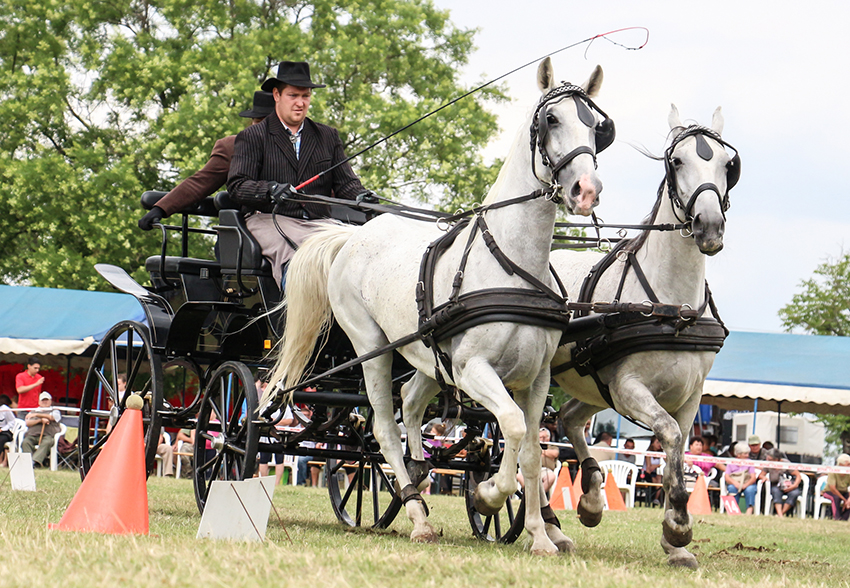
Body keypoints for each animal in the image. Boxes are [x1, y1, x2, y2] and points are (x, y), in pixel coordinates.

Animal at [264, 57, 608, 552]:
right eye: (550, 119)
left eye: (598, 126)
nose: (586, 190)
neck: (508, 263)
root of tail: (355, 234)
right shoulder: (472, 370)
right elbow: (513, 426)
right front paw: (488, 495)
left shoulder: (537, 378)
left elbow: (530, 450)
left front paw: (540, 535)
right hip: (372, 348)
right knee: (383, 429)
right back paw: (417, 514)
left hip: (423, 354)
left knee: (409, 403)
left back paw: (420, 475)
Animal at [548, 107, 736, 568]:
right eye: (677, 161)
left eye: (728, 165)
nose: (709, 226)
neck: (672, 310)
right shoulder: (629, 388)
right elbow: (667, 435)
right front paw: (679, 525)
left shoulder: (690, 396)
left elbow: (677, 454)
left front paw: (674, 541)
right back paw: (550, 526)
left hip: (591, 382)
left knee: (570, 418)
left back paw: (591, 500)